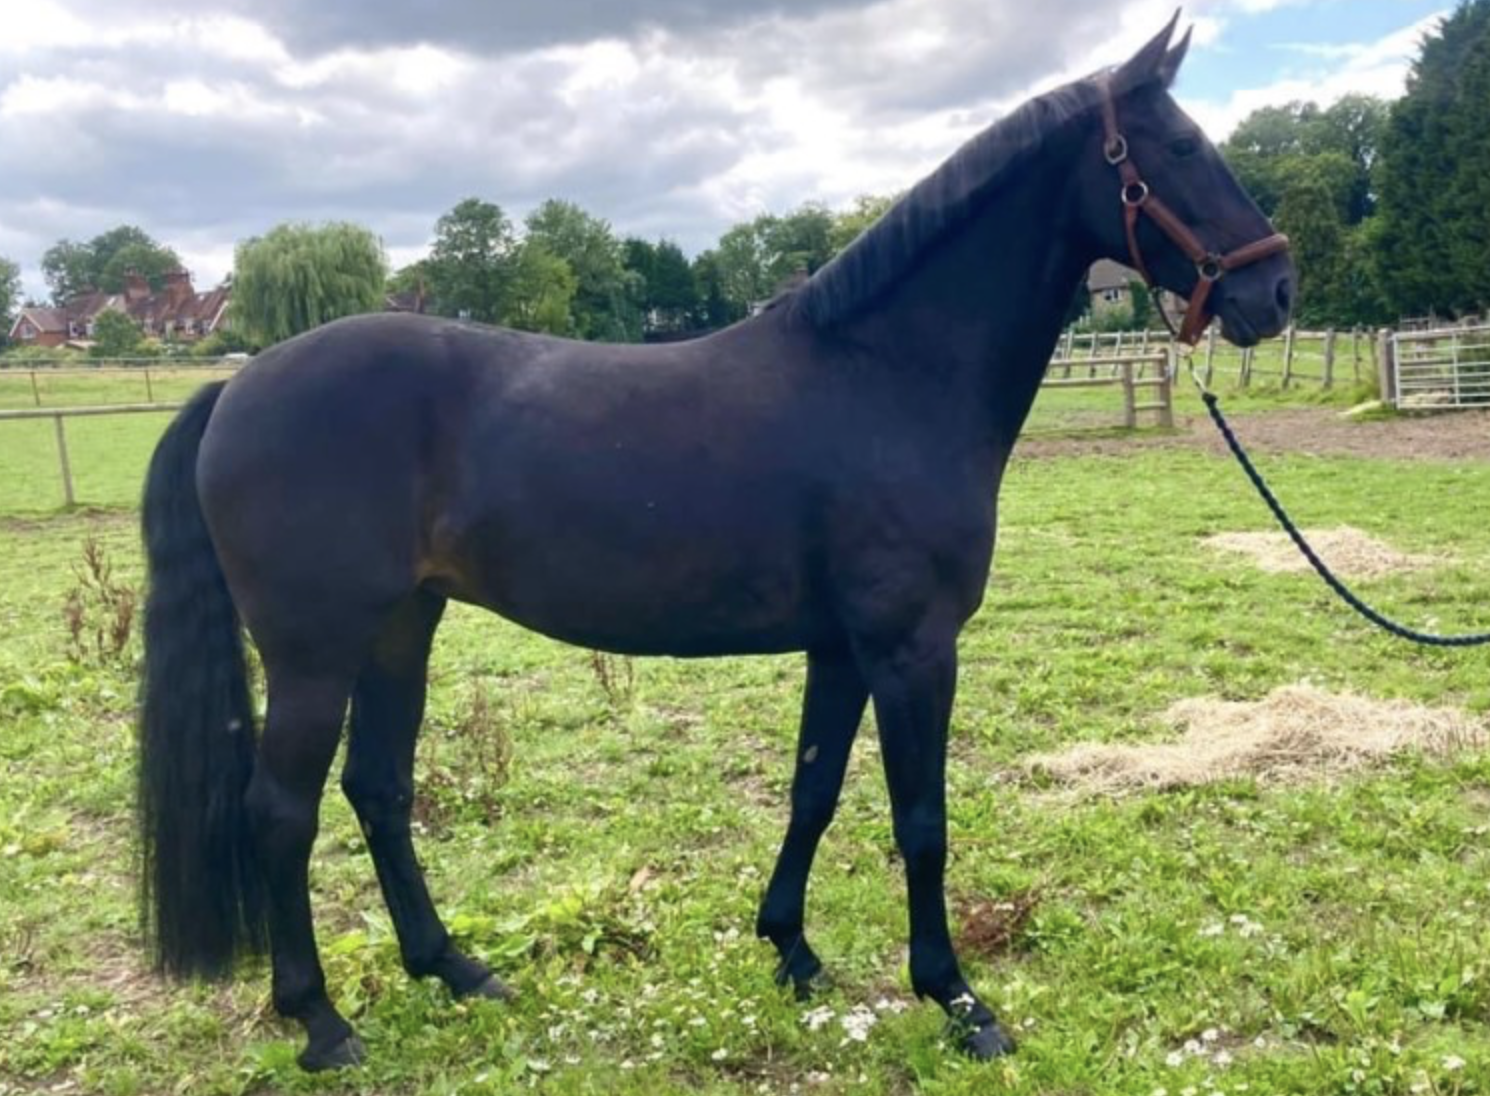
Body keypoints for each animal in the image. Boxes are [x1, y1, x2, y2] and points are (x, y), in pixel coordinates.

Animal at [136, 16, 1292, 1071]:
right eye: (1179, 146)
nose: (1271, 290)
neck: (885, 379)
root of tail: (239, 386)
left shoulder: (842, 648)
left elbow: (814, 789)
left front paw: (791, 949)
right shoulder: (912, 649)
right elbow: (920, 816)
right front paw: (958, 1000)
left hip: (399, 628)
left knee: (377, 788)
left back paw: (456, 969)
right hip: (314, 651)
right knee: (281, 812)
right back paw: (321, 1024)